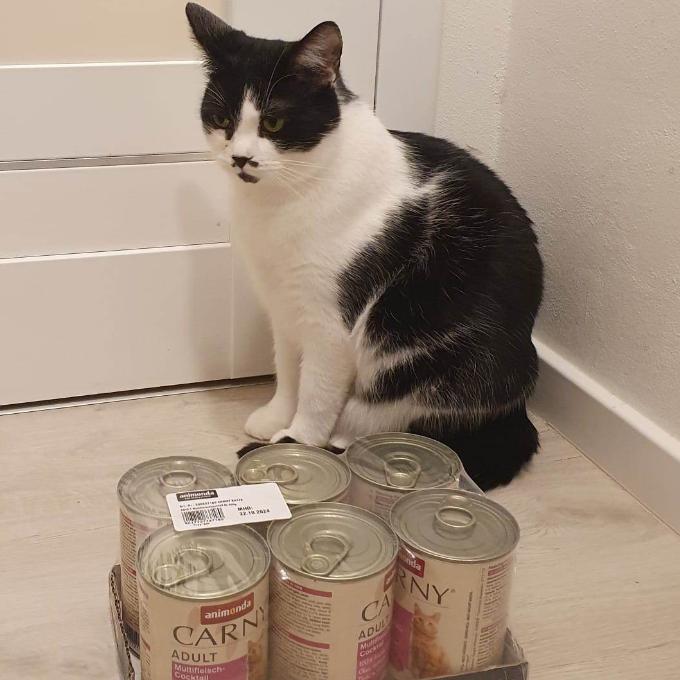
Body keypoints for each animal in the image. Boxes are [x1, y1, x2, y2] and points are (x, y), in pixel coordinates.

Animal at [186, 4, 543, 489]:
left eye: (274, 122)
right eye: (222, 120)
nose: (241, 158)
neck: (282, 200)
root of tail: (517, 412)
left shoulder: (330, 323)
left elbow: (316, 392)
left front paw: (298, 443)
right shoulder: (284, 304)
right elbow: (288, 370)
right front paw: (276, 416)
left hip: (431, 365)